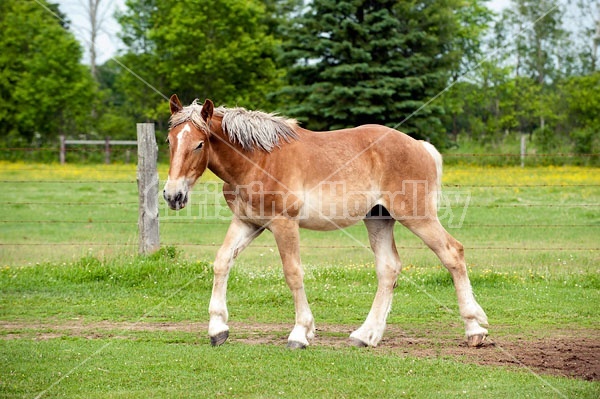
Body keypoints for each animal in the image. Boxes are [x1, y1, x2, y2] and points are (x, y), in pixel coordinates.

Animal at [163, 94, 488, 350]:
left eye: (199, 144)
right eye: (169, 141)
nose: (172, 195)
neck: (257, 160)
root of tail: (421, 146)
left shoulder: (284, 225)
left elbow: (293, 273)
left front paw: (300, 333)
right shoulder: (247, 222)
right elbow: (221, 262)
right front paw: (218, 329)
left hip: (417, 216)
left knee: (452, 253)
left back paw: (475, 330)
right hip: (379, 219)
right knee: (389, 269)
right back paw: (366, 335)